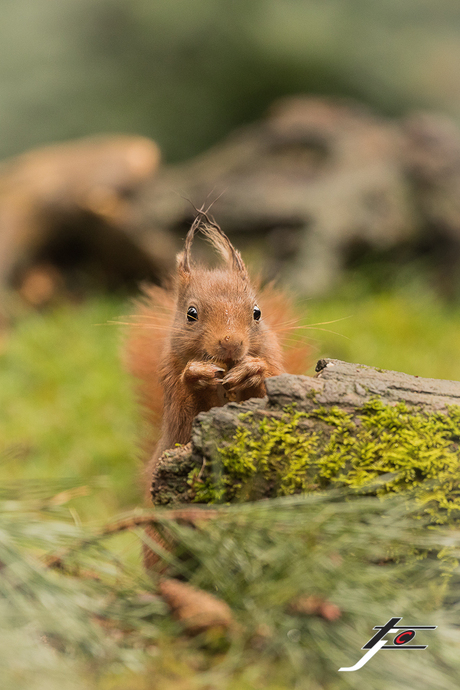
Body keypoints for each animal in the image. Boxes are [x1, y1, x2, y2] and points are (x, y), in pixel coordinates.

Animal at [126, 210, 310, 484]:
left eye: (257, 312)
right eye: (191, 313)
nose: (231, 343)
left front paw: (253, 370)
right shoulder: (171, 383)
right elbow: (182, 423)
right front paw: (196, 374)